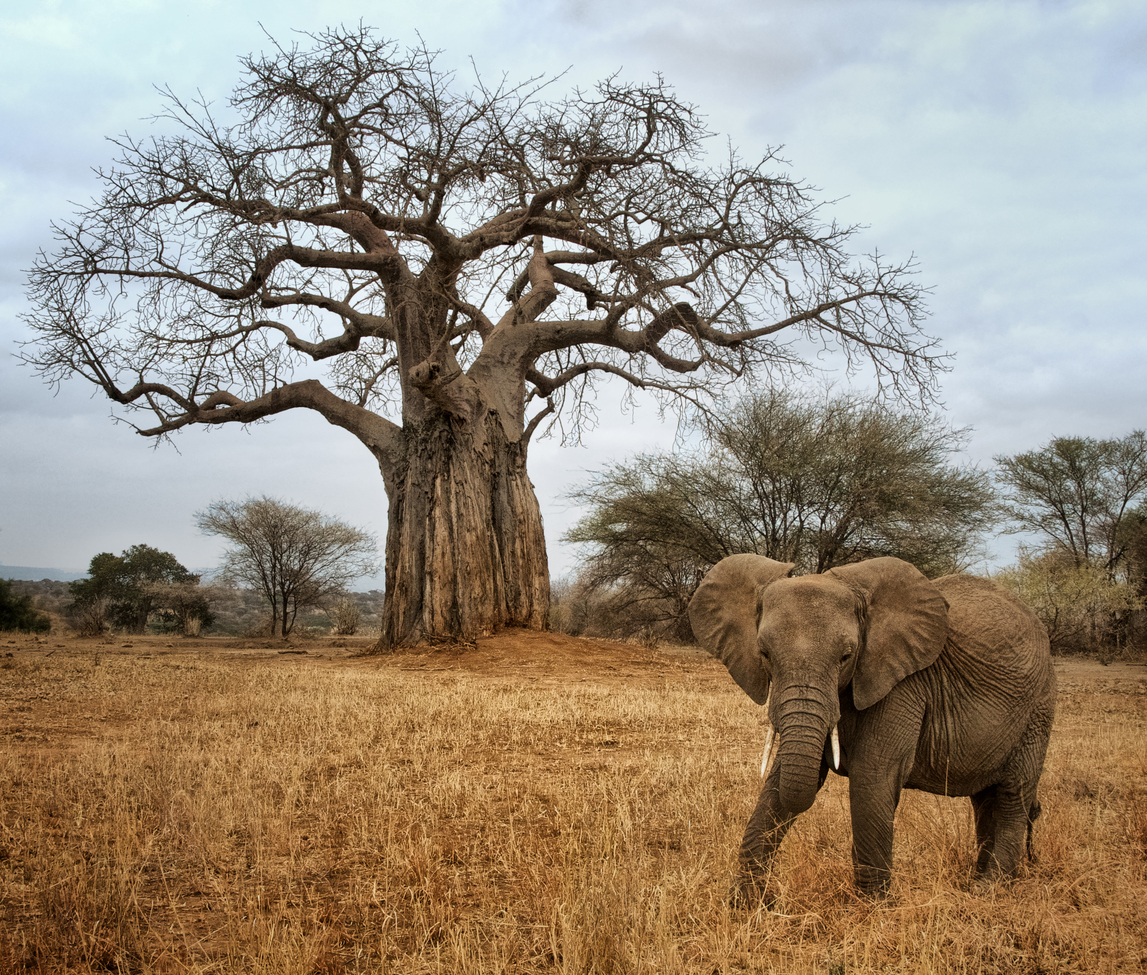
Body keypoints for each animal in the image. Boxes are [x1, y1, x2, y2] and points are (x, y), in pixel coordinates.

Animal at [688, 554, 1056, 901]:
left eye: (846, 657)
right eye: (764, 654)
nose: (764, 896)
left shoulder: (904, 683)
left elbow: (873, 774)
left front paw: (873, 907)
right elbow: (785, 778)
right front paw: (746, 903)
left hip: (1038, 709)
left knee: (1012, 795)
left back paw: (988, 889)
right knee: (985, 798)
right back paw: (978, 879)